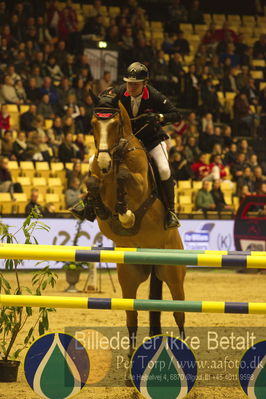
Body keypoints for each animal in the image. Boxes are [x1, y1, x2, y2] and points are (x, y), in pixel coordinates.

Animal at [87, 101, 185, 354]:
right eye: (93, 123)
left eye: (115, 124)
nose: (103, 163)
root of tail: (153, 258)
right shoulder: (100, 178)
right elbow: (92, 182)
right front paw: (98, 208)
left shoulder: (140, 185)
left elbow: (124, 177)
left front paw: (126, 215)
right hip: (129, 277)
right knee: (131, 317)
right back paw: (131, 361)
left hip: (174, 275)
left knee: (180, 313)